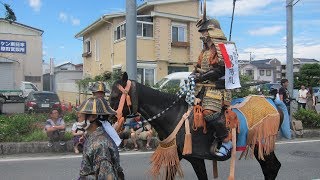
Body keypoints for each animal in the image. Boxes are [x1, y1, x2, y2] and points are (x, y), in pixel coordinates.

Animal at [110, 73, 280, 180]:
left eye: (114, 96)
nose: (109, 117)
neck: (174, 114)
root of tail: (273, 102)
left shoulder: (196, 158)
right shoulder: (175, 155)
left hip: (262, 143)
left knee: (272, 168)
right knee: (269, 168)